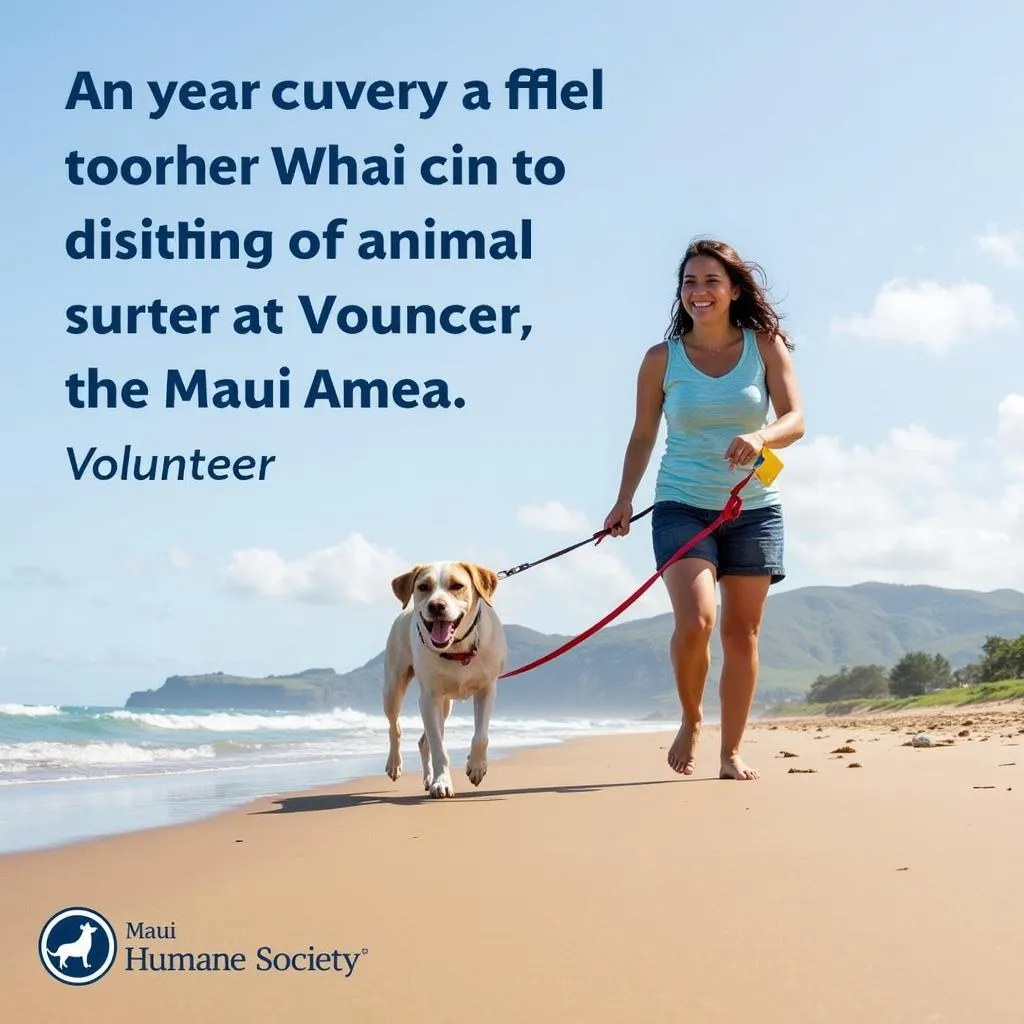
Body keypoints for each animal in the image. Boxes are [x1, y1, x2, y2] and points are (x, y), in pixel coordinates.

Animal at [385, 561, 507, 798]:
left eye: (457, 585)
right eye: (423, 587)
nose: (436, 606)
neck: (457, 649)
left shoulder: (487, 688)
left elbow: (481, 736)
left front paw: (476, 766)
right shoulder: (429, 697)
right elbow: (438, 746)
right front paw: (441, 782)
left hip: (446, 704)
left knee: (423, 741)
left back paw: (428, 778)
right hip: (394, 685)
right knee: (395, 727)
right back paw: (395, 764)